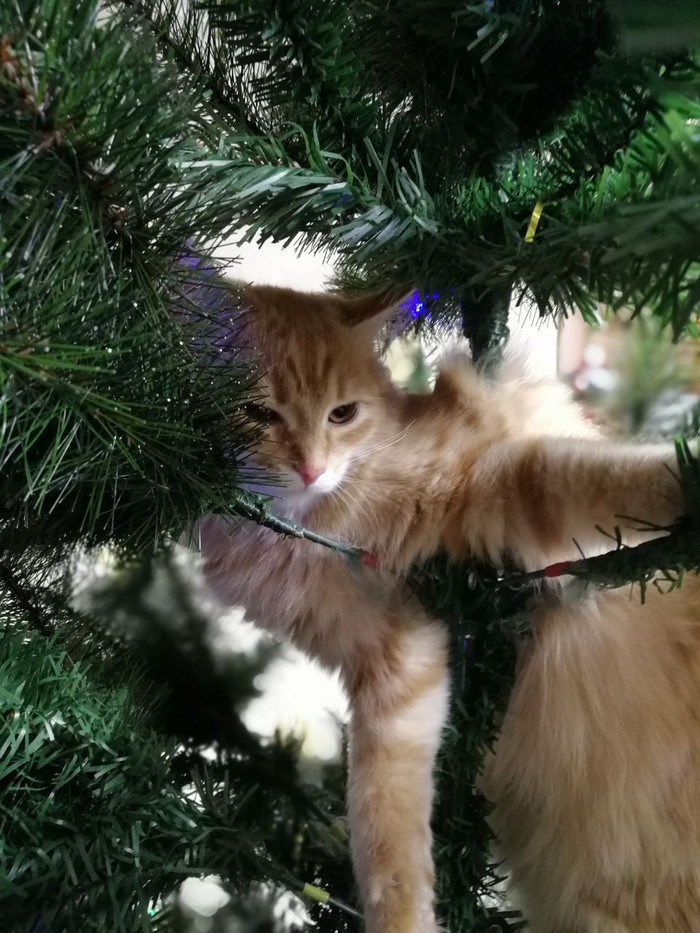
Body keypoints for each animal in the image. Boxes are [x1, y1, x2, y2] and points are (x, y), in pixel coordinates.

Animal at [196, 286, 700, 932]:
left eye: (342, 415)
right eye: (258, 414)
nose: (312, 468)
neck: (309, 531)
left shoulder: (493, 480)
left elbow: (592, 475)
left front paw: (688, 478)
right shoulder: (392, 657)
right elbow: (381, 813)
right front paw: (401, 917)